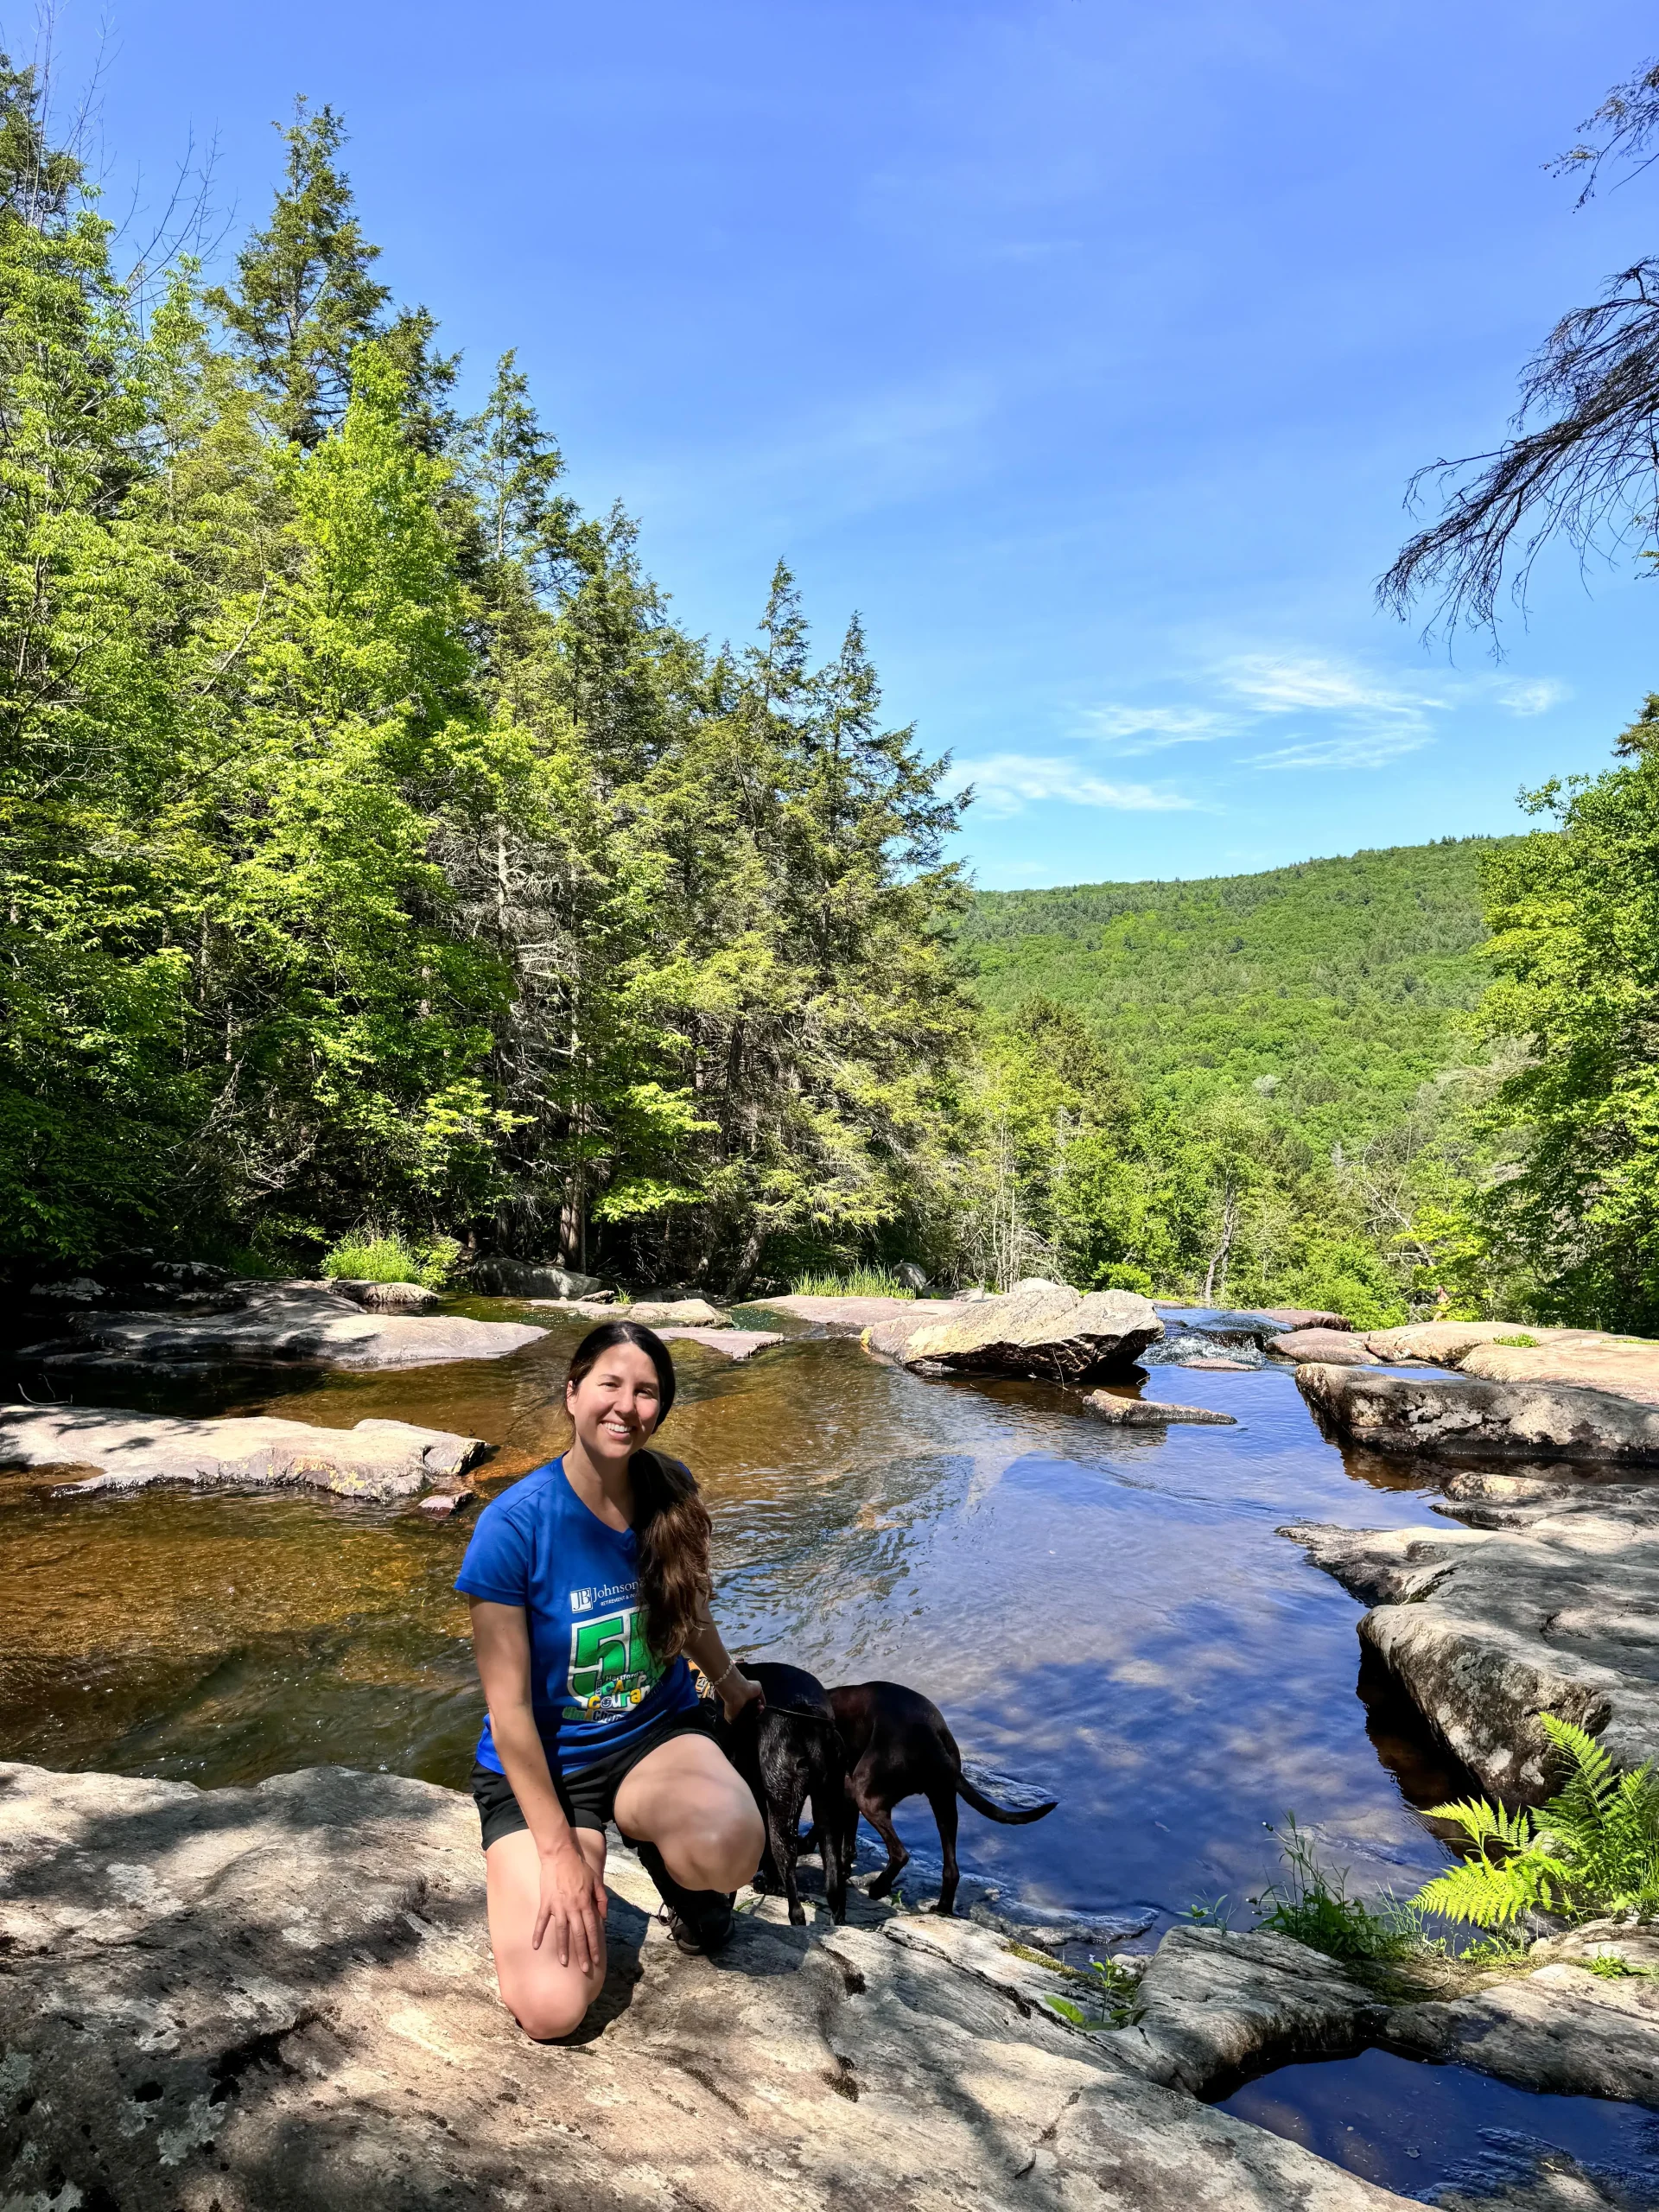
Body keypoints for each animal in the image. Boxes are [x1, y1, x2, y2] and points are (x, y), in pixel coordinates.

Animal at [831, 1672, 1065, 1920]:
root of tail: (927, 1732)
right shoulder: (846, 1798)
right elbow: (848, 1843)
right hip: (944, 1803)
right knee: (951, 1870)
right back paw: (942, 1908)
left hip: (870, 1797)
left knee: (900, 1853)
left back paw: (878, 1888)